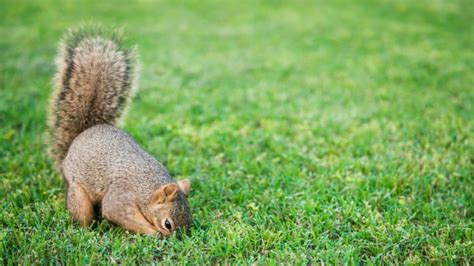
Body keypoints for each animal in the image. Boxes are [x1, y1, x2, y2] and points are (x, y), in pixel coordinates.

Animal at [46, 26, 191, 236]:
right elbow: (114, 211)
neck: (146, 187)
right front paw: (153, 233)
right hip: (78, 190)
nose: (178, 240)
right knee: (81, 210)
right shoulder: (122, 195)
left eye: (190, 221)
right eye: (168, 224)